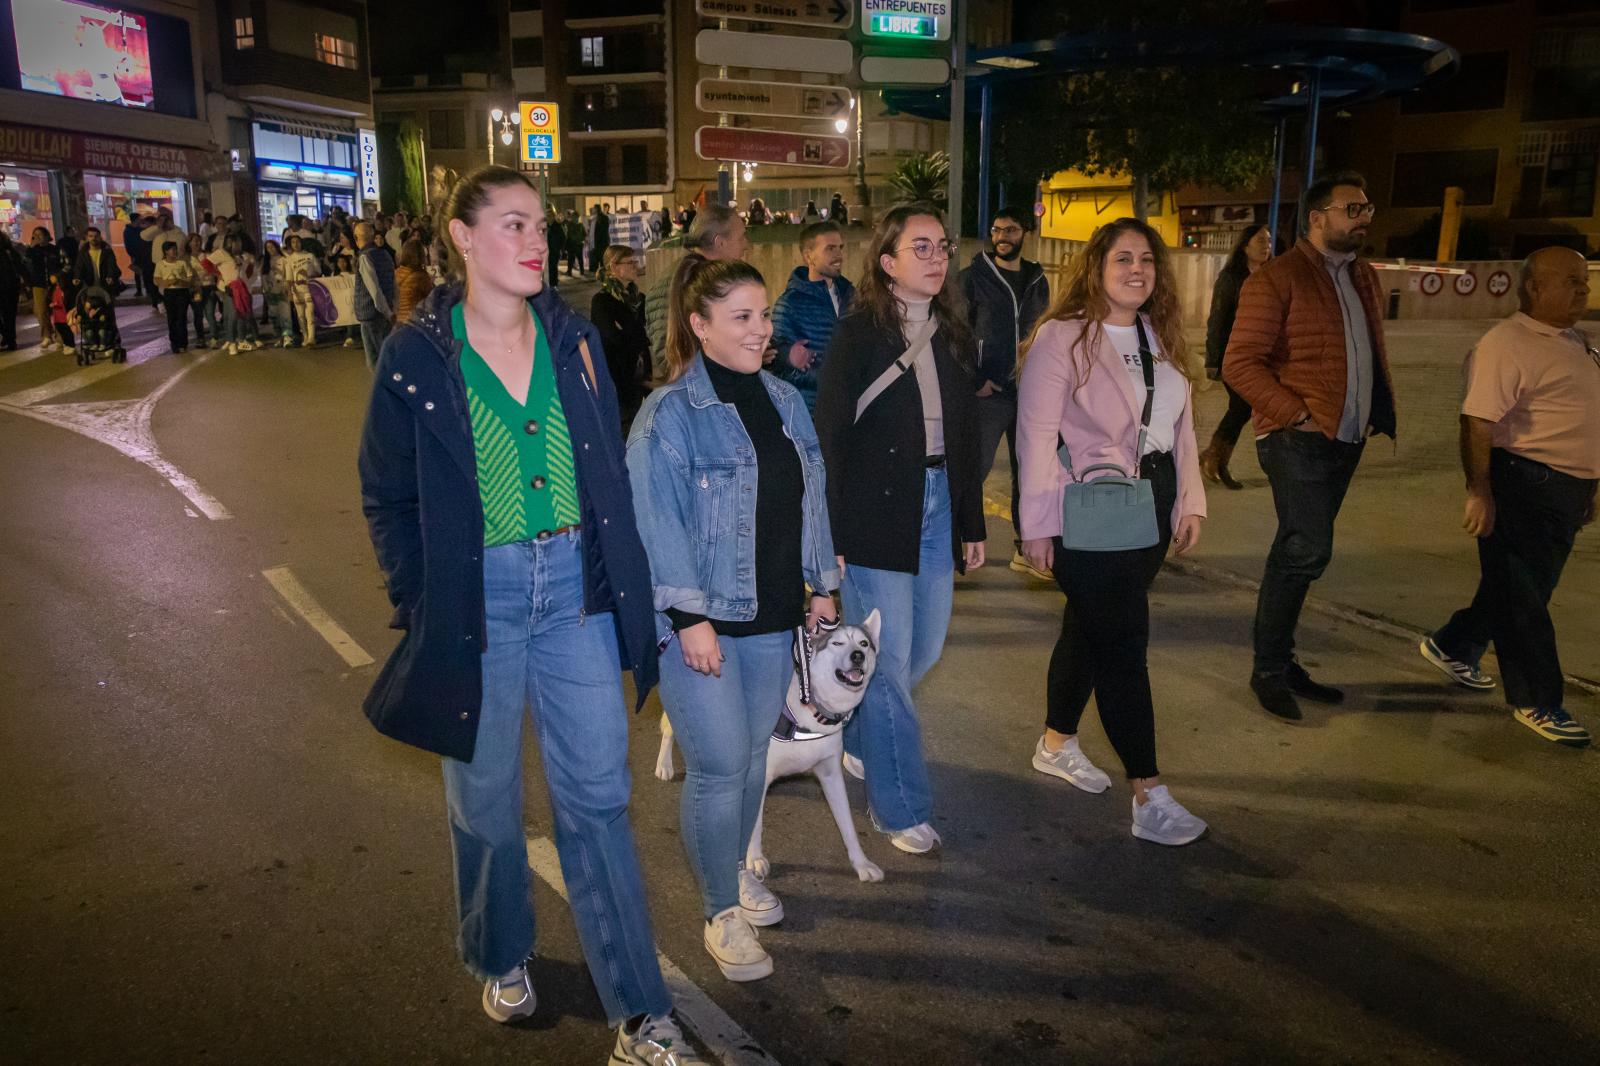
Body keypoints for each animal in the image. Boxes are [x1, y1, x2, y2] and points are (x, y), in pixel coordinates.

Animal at [656, 605, 896, 877]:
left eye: (864, 644)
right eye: (837, 643)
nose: (857, 656)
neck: (811, 706)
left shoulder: (831, 774)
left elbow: (848, 825)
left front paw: (861, 863)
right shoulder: (761, 771)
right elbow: (754, 823)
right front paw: (754, 858)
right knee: (669, 729)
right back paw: (664, 765)